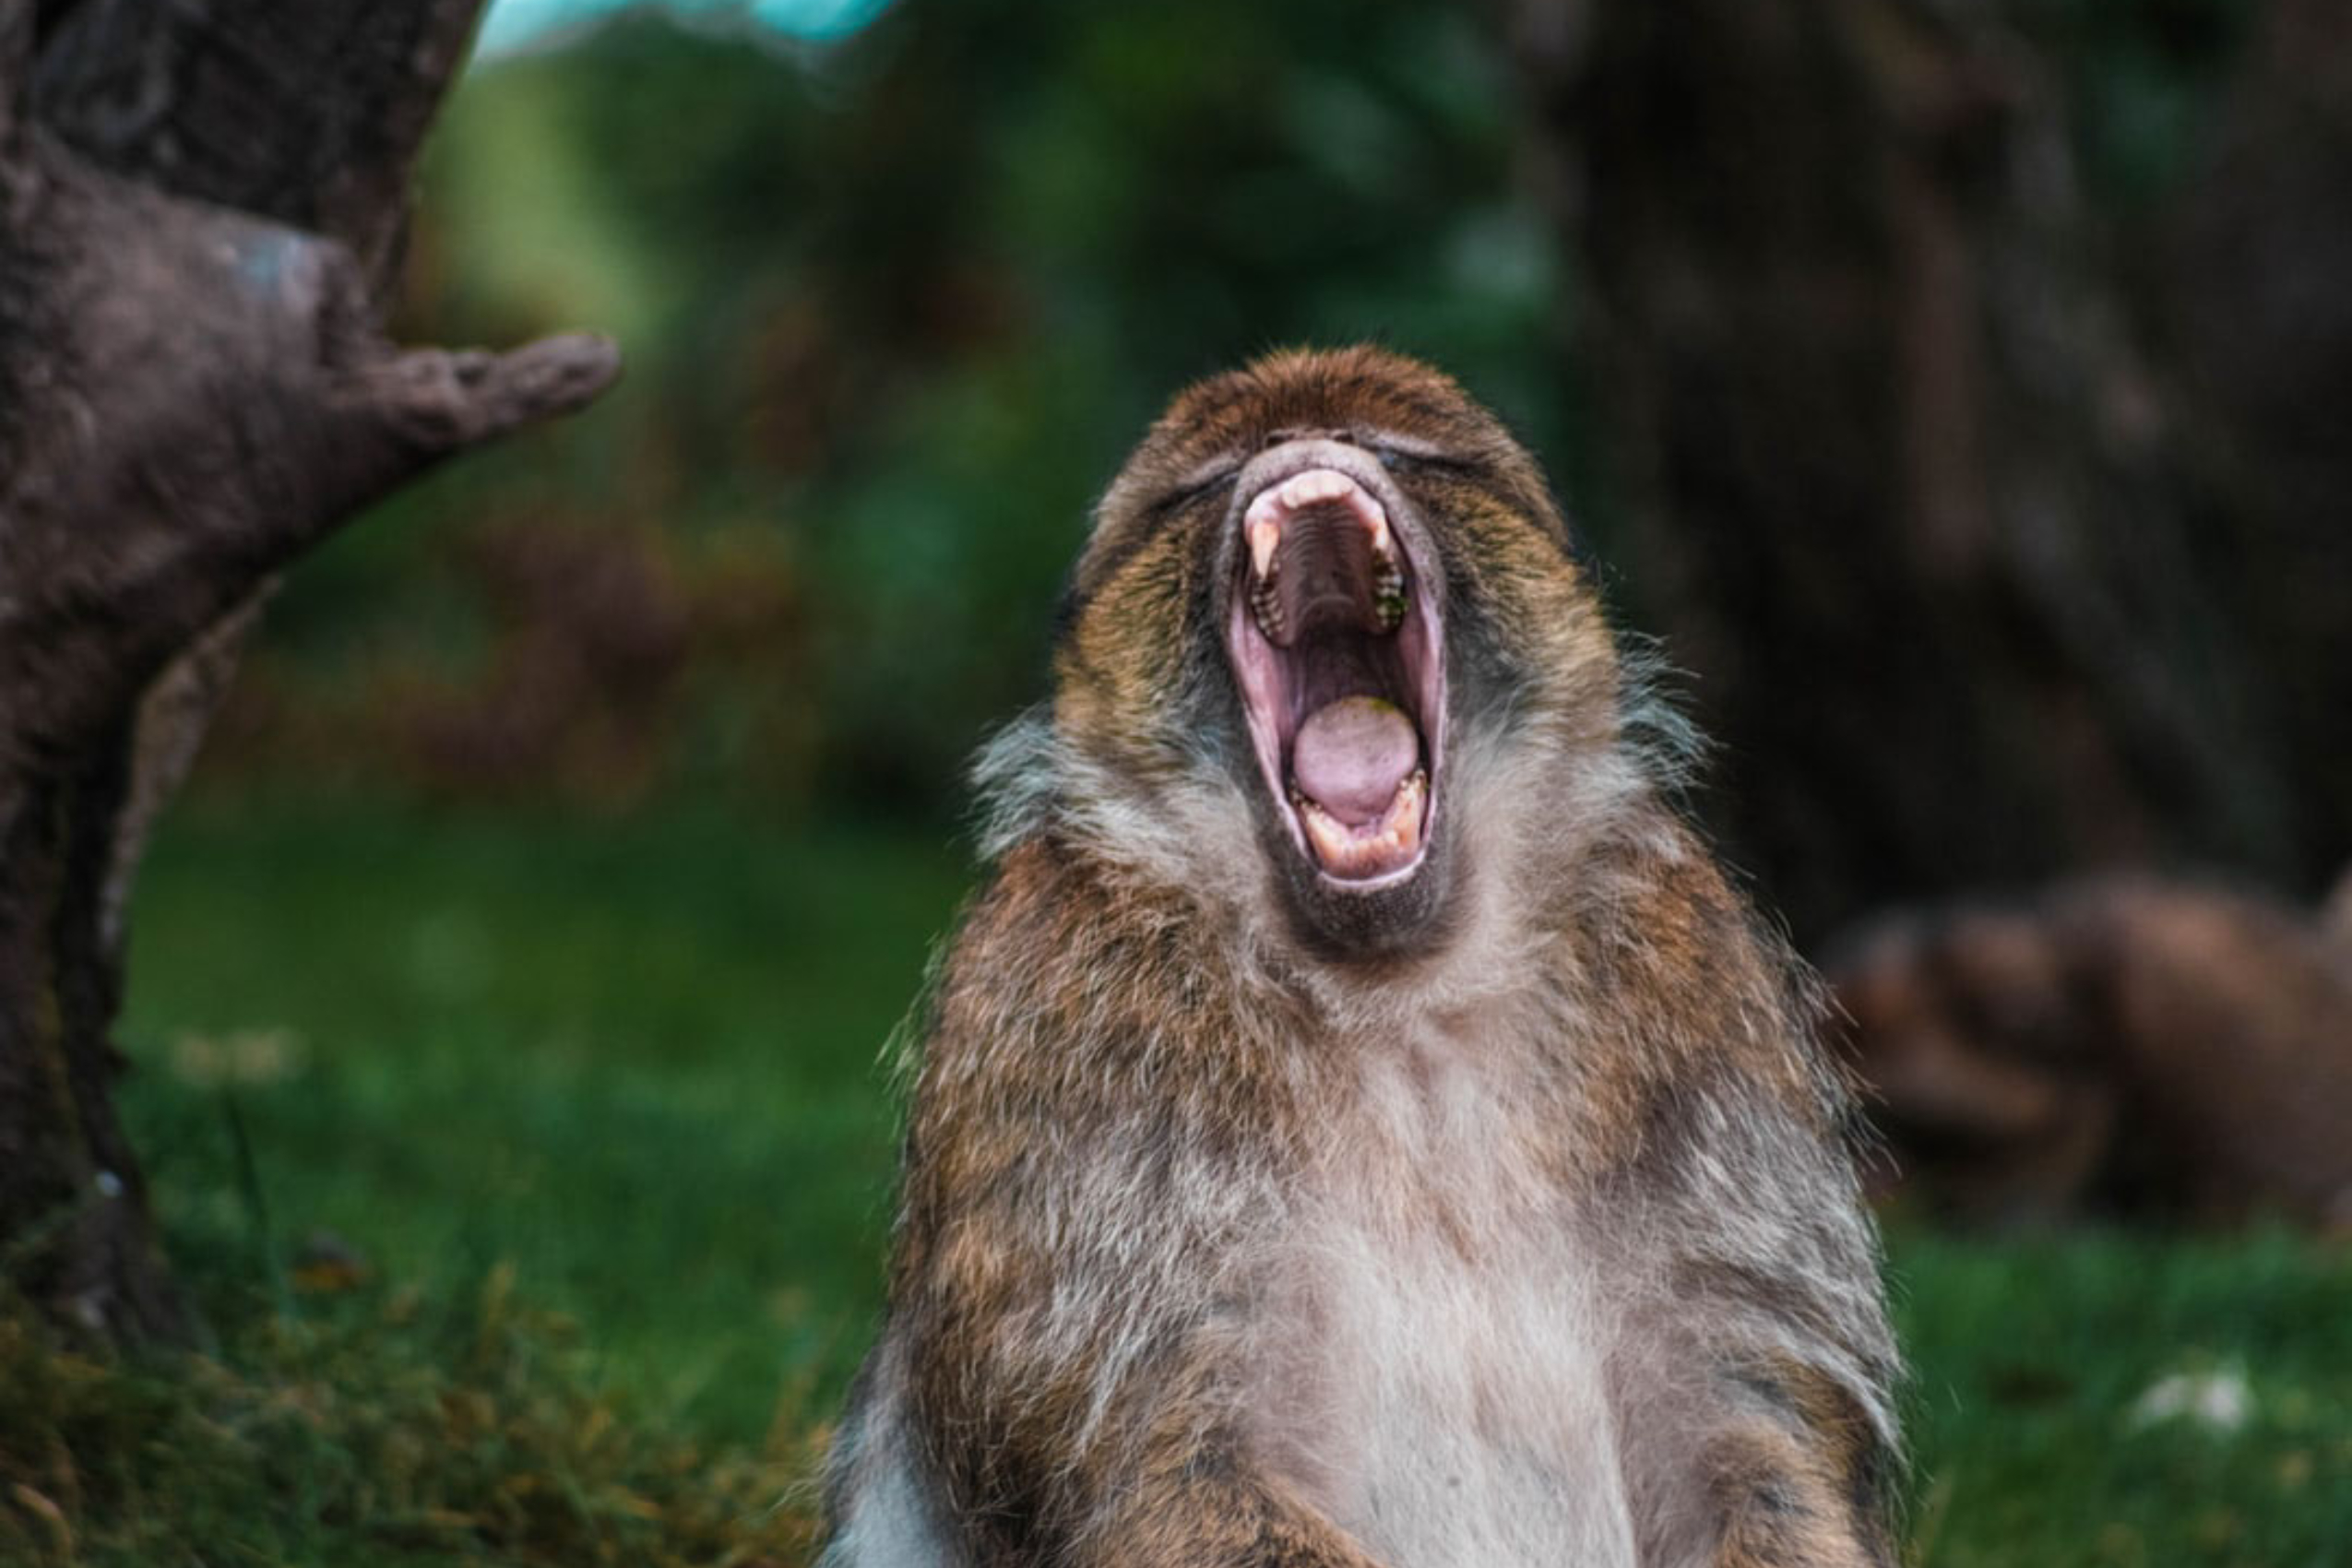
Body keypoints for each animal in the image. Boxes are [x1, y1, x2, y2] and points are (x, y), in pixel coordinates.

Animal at [818, 350, 1900, 1561]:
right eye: (1202, 481)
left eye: (1411, 450)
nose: (1305, 443)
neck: (1400, 998)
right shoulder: (1052, 1027)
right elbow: (1166, 1461)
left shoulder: (1704, 998)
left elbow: (1748, 1434)